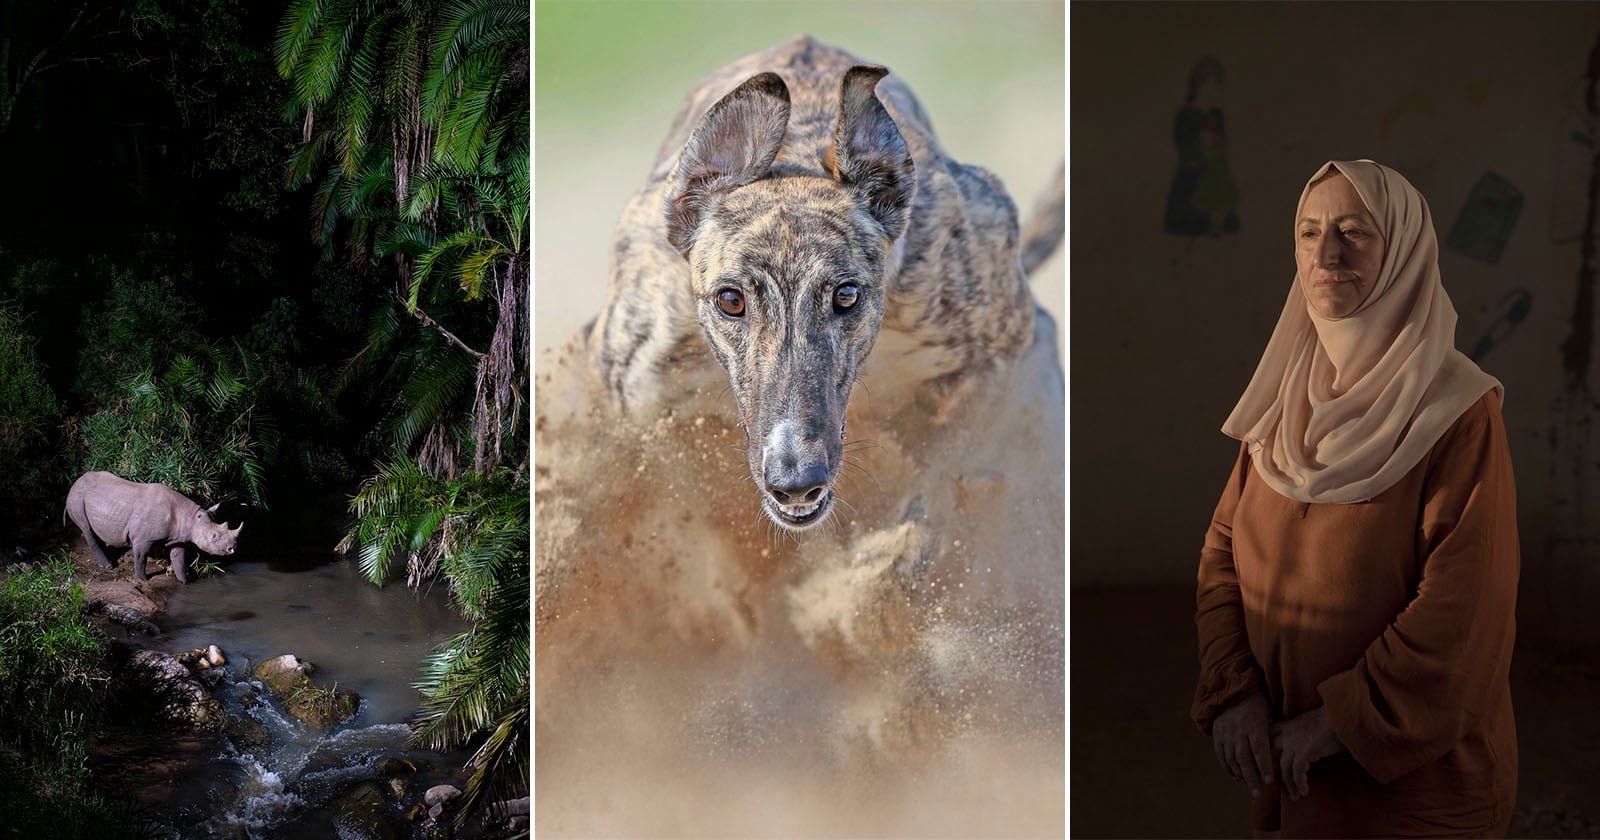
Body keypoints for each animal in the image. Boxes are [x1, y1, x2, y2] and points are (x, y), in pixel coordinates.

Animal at [64, 471, 241, 584]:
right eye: (213, 536)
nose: (232, 548)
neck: (190, 518)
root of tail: (74, 483)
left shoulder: (180, 537)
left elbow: (178, 559)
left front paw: (185, 581)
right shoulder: (142, 539)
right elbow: (141, 557)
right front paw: (142, 580)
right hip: (76, 498)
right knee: (86, 529)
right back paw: (107, 566)